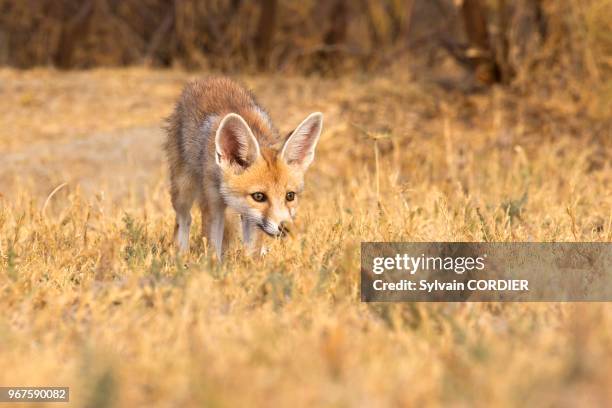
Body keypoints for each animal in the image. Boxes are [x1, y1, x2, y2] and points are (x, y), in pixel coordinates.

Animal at [163, 76, 326, 258]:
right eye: (259, 196)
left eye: (290, 196)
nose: (285, 228)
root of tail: (211, 78)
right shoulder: (213, 205)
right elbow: (213, 246)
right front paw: (212, 264)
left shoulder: (252, 218)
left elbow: (252, 249)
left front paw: (250, 263)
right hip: (183, 190)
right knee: (184, 219)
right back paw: (181, 254)